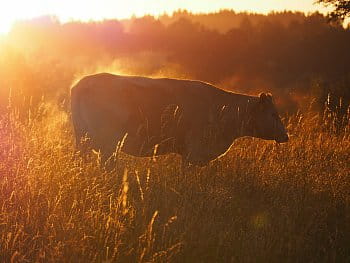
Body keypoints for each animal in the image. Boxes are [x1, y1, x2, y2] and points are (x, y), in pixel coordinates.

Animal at [70, 73, 288, 166]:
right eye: (273, 114)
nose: (286, 136)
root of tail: (82, 83)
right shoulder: (193, 151)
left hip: (84, 140)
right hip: (108, 142)